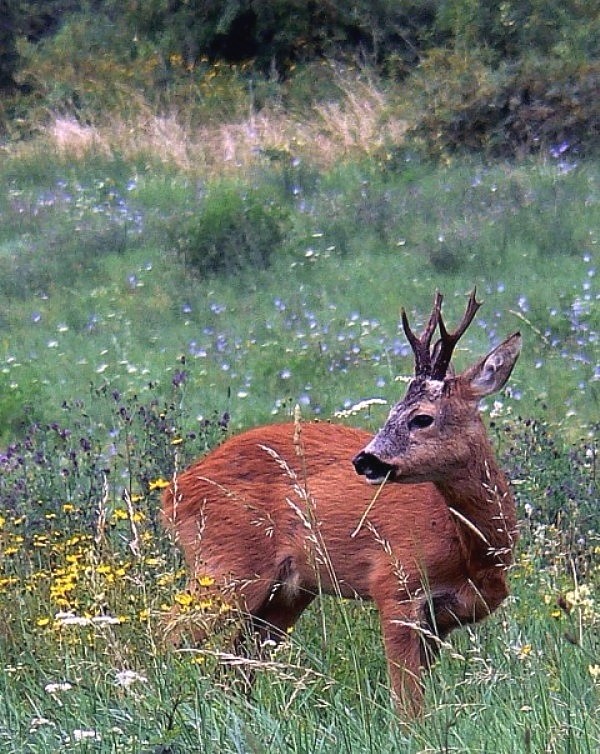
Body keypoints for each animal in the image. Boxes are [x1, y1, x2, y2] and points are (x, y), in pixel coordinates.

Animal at [163, 290, 520, 712]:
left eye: (421, 418)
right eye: (391, 411)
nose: (365, 460)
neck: (472, 550)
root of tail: (173, 492)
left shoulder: (443, 618)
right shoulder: (395, 586)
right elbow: (407, 702)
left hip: (287, 591)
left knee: (239, 661)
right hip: (225, 566)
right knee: (166, 634)